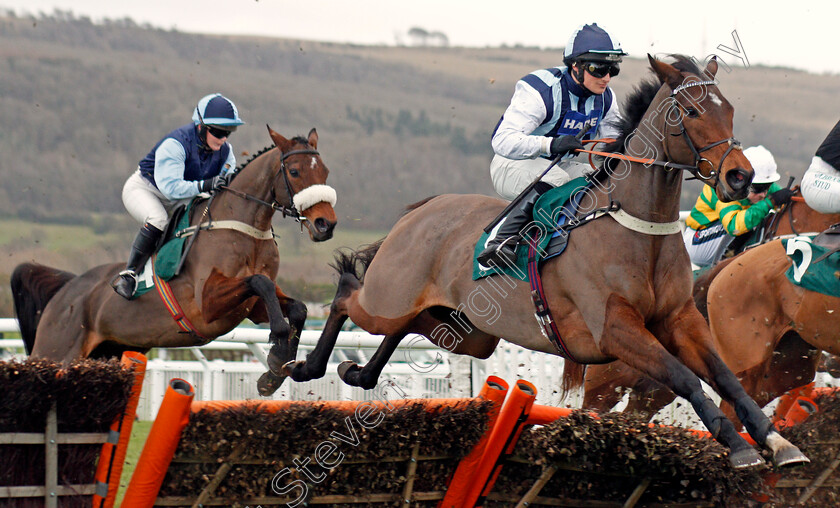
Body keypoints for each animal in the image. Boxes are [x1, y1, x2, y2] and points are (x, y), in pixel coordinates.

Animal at [13, 126, 338, 392]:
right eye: (294, 171)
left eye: (325, 171)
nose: (326, 224)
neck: (245, 231)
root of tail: (66, 290)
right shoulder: (208, 306)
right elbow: (261, 283)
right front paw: (277, 350)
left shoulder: (248, 307)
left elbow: (297, 308)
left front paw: (275, 370)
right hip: (56, 353)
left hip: (107, 352)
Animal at [282, 56, 808, 468]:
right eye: (691, 111)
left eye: (729, 109)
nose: (739, 177)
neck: (636, 229)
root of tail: (421, 210)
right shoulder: (615, 330)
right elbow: (684, 378)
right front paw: (739, 448)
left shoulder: (679, 318)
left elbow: (724, 377)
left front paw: (778, 443)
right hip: (389, 297)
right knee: (348, 296)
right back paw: (298, 365)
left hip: (466, 331)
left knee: (404, 327)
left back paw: (358, 374)